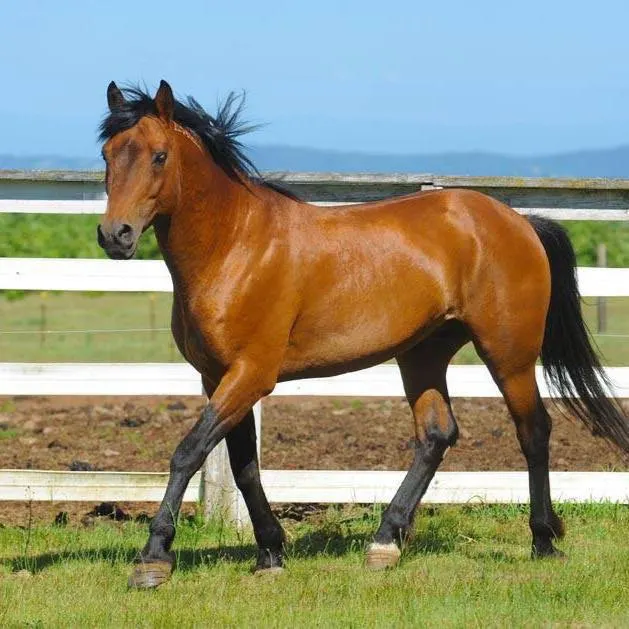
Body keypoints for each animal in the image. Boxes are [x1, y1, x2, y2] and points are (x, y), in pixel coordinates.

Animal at [98, 81, 628, 588]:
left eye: (159, 156)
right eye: (107, 154)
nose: (114, 235)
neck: (235, 247)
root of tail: (520, 222)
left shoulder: (251, 374)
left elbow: (188, 452)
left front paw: (153, 559)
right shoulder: (218, 376)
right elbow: (243, 465)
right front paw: (270, 553)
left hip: (509, 353)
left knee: (533, 430)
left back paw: (543, 541)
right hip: (423, 354)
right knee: (436, 434)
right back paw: (385, 543)